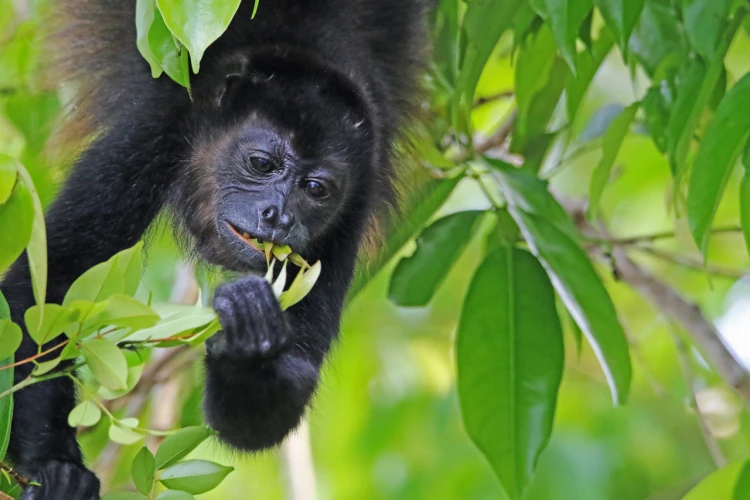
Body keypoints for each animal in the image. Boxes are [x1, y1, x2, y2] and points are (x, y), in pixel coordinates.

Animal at [0, 1, 432, 498]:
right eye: (261, 163)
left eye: (317, 189)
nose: (279, 216)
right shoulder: (152, 132)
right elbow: (50, 287)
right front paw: (54, 463)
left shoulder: (354, 203)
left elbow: (290, 381)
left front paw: (251, 346)